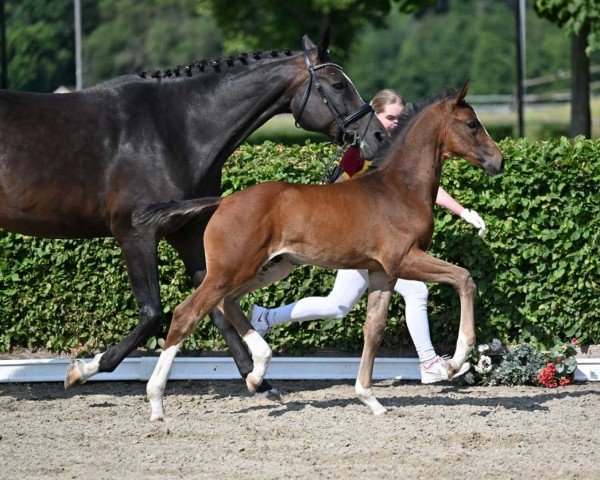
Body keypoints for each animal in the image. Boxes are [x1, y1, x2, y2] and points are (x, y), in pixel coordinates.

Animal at [0, 30, 384, 394]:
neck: (175, 129)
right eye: (337, 84)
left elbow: (212, 302)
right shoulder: (136, 233)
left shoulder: (185, 231)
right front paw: (83, 369)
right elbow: (153, 314)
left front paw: (258, 381)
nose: (379, 135)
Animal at [135, 80, 502, 418]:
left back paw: (257, 373)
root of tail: (223, 201)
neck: (399, 189)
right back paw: (157, 401)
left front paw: (370, 398)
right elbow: (464, 278)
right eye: (472, 124)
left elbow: (374, 328)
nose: (499, 161)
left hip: (271, 267)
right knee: (188, 313)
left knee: (228, 303)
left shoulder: (382, 272)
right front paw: (455, 362)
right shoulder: (404, 259)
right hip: (230, 269)